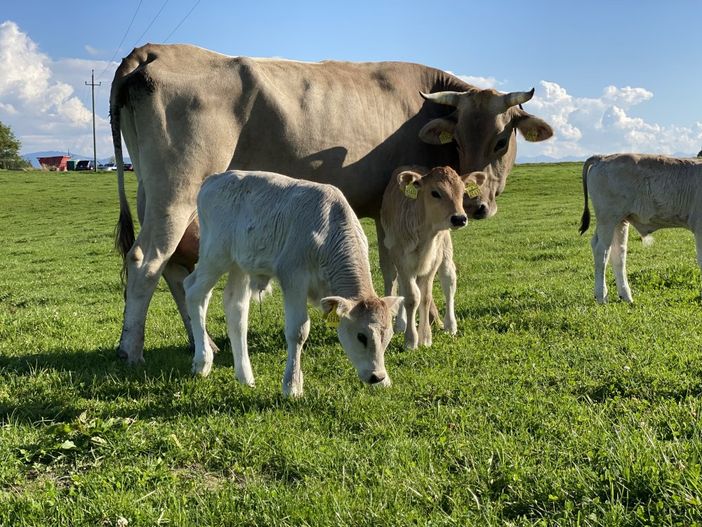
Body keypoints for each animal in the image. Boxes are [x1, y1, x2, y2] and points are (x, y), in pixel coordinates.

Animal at [184, 171, 404, 398]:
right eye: (362, 336)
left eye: (388, 336)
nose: (376, 376)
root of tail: (216, 178)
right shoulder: (293, 277)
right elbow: (298, 331)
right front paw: (291, 385)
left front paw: (385, 382)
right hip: (215, 254)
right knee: (194, 291)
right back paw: (202, 361)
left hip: (240, 264)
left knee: (235, 308)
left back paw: (245, 375)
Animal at [382, 167, 486, 348]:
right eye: (435, 193)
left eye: (462, 192)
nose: (459, 218)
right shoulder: (401, 259)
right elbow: (411, 297)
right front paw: (411, 340)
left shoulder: (433, 260)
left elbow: (425, 297)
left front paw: (425, 337)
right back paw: (401, 324)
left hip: (445, 250)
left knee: (449, 281)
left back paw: (450, 326)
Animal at [580, 153, 702, 304]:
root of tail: (603, 157)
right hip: (608, 218)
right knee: (601, 251)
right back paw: (601, 295)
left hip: (620, 221)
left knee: (618, 252)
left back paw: (626, 295)